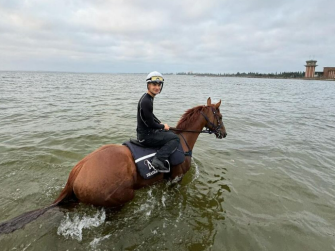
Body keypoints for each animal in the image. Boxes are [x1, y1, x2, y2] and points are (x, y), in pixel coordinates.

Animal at [0, 97, 227, 234]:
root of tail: (77, 173)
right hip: (121, 198)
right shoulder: (176, 181)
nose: (224, 133)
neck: (182, 141)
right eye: (221, 116)